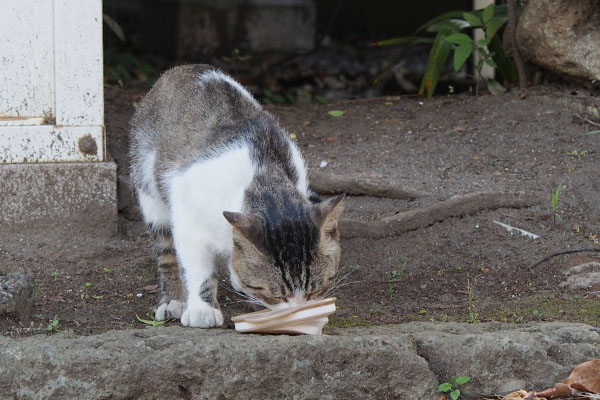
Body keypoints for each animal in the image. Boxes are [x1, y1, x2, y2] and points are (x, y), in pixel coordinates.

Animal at [129, 65, 344, 328]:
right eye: (276, 294)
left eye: (315, 290)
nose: (297, 313)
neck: (265, 178)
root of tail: (181, 69)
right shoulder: (188, 216)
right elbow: (196, 267)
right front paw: (202, 309)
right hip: (148, 184)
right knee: (166, 250)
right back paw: (173, 300)